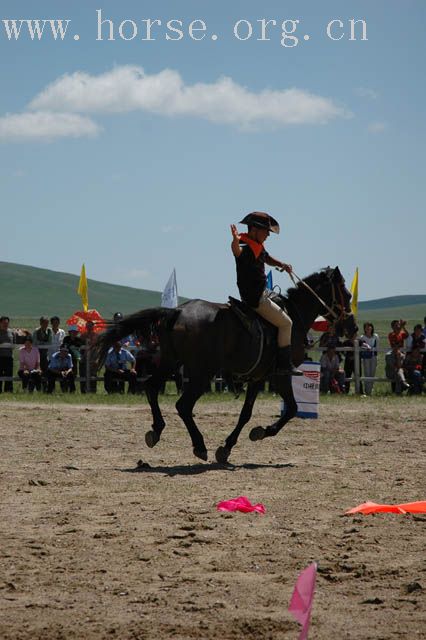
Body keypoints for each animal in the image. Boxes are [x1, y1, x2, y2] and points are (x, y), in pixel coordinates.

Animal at [95, 268, 356, 462]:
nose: (352, 328)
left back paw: (157, 430)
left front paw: (228, 447)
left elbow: (246, 413)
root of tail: (177, 311)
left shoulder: (258, 377)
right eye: (347, 294)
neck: (293, 317)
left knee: (151, 388)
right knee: (183, 406)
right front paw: (262, 432)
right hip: (201, 373)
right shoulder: (281, 374)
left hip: (171, 362)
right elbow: (291, 408)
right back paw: (199, 446)